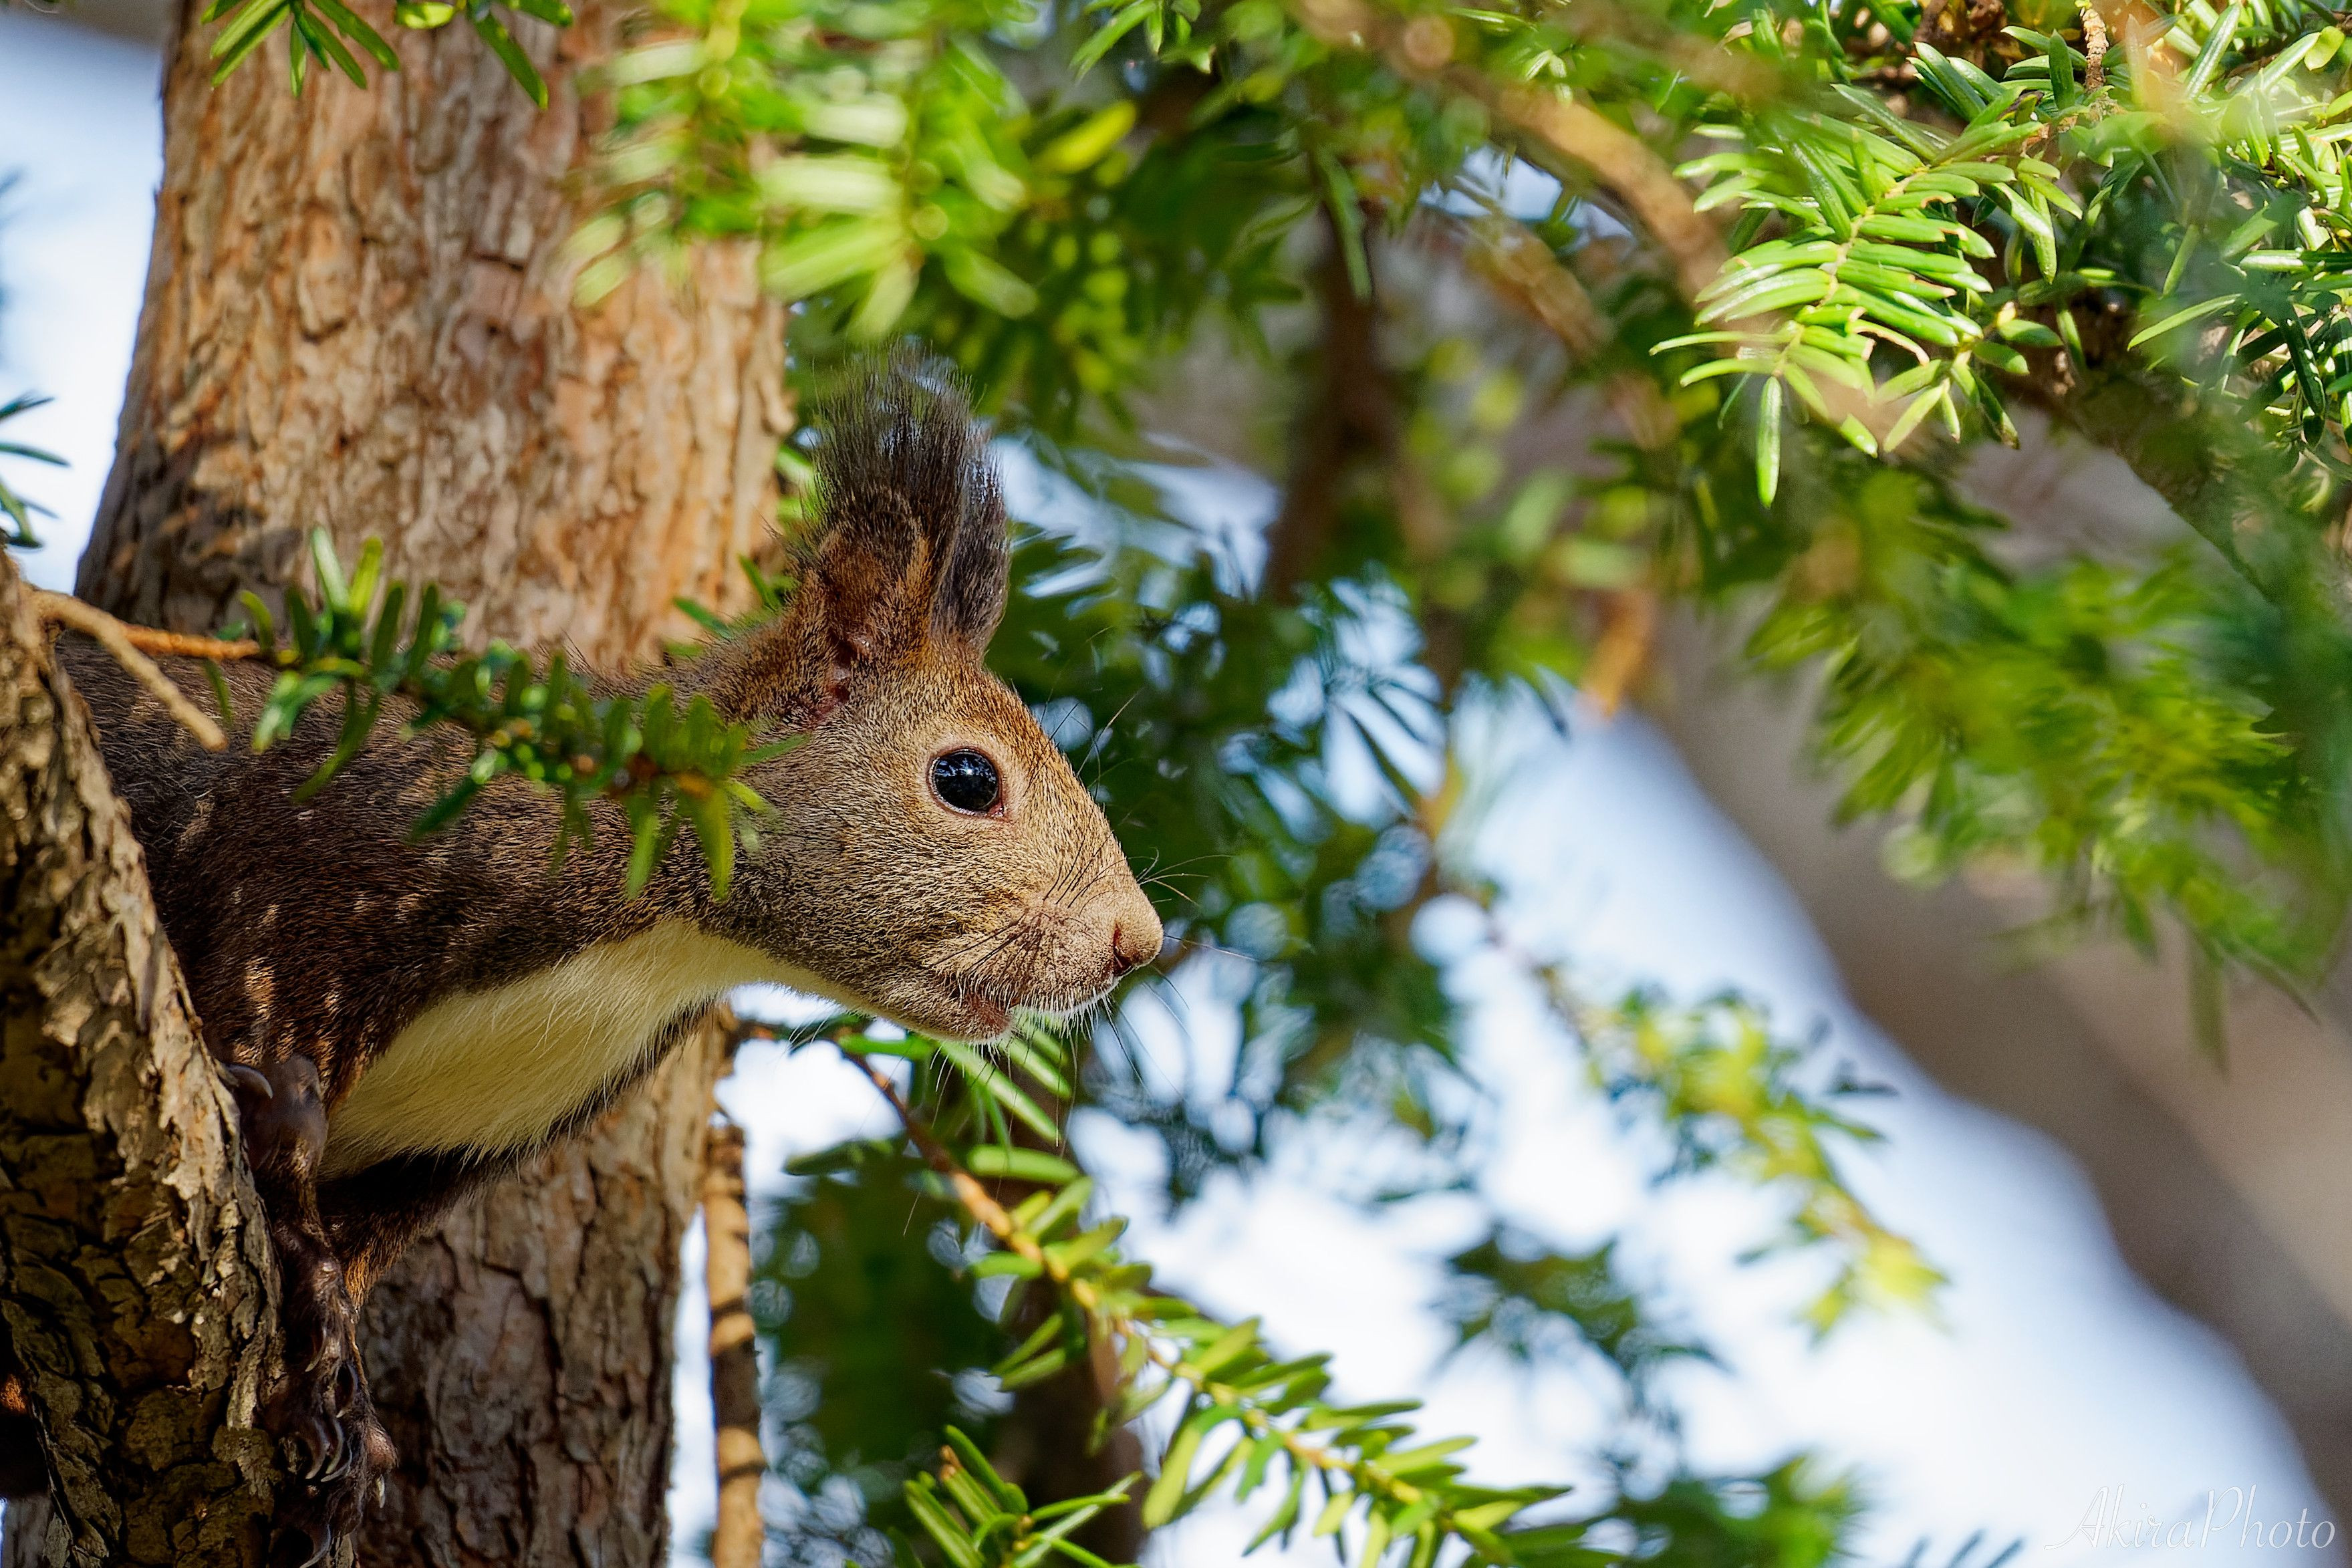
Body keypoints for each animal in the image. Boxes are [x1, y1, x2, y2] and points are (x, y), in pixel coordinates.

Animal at [21, 363, 1162, 1565]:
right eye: (966, 779)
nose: (1135, 942)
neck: (656, 940)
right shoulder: (287, 908)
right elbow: (278, 1159)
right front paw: (324, 1379)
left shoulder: (475, 1135)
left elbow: (362, 1242)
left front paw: (358, 1417)